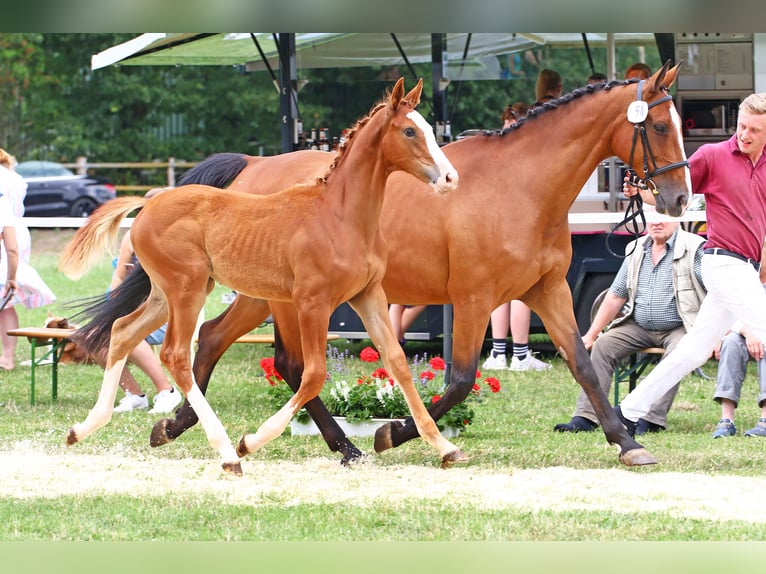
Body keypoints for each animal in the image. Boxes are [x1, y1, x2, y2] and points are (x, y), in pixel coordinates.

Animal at [58, 80, 462, 476]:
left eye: (429, 129)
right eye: (409, 131)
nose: (450, 178)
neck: (340, 217)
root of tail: (151, 203)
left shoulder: (368, 295)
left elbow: (397, 362)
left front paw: (444, 447)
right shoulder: (312, 303)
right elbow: (312, 374)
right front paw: (250, 442)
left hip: (167, 294)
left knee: (123, 331)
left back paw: (85, 428)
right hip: (187, 290)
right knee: (176, 355)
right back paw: (227, 453)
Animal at [153, 62, 692, 468]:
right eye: (659, 126)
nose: (679, 198)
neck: (521, 186)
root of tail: (252, 165)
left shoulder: (547, 290)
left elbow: (583, 363)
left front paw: (627, 443)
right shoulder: (474, 298)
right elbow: (460, 381)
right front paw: (393, 433)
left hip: (263, 295)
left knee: (215, 337)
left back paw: (180, 424)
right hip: (287, 300)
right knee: (283, 361)